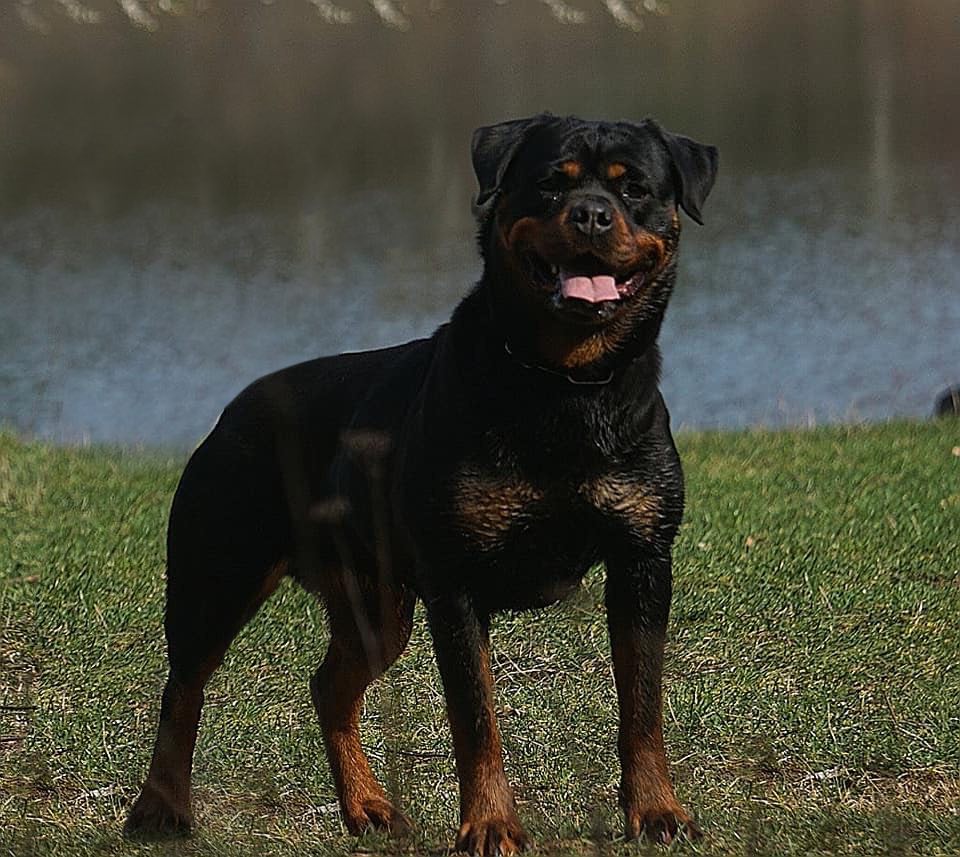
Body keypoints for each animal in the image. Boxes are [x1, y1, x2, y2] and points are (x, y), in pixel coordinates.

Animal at [125, 115, 712, 856]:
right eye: (551, 181)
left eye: (633, 188)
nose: (589, 213)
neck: (564, 384)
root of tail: (236, 406)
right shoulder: (454, 579)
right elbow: (475, 717)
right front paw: (490, 825)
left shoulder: (643, 557)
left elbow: (642, 703)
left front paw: (658, 811)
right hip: (219, 571)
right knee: (184, 685)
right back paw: (161, 806)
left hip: (378, 606)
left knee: (329, 686)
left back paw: (367, 806)